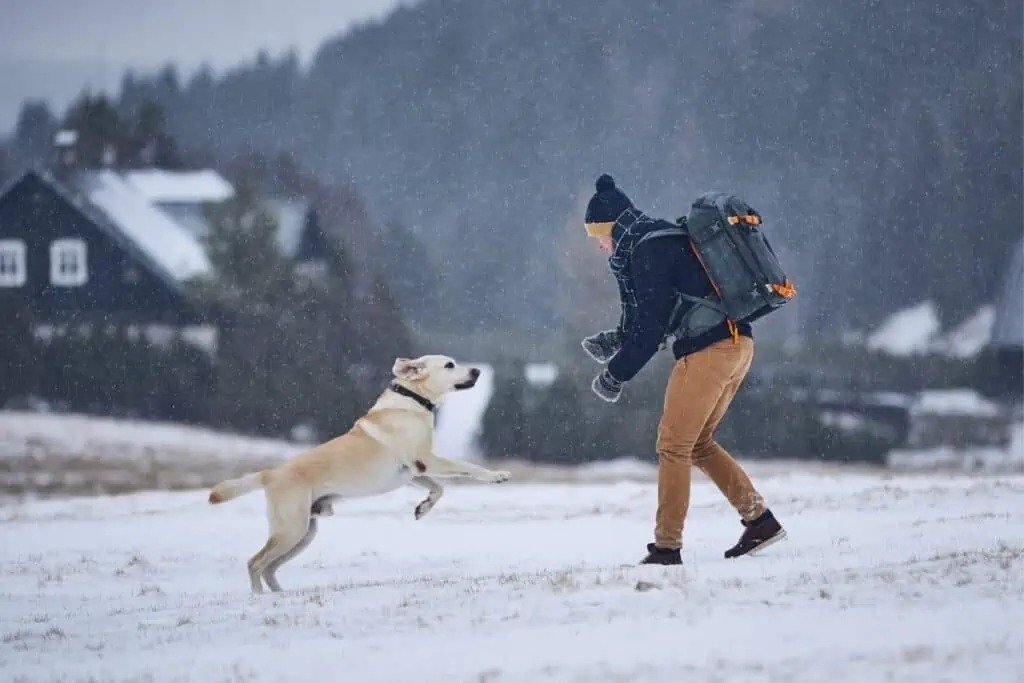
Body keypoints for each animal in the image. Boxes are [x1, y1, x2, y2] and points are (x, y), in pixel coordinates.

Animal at [207, 356, 512, 593]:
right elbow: (469, 468)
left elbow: (439, 489)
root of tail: (269, 474)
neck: (411, 401)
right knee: (255, 563)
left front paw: (422, 508)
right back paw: (259, 598)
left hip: (304, 533)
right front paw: (496, 475)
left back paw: (279, 597)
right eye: (450, 365)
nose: (477, 371)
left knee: (269, 568)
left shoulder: (415, 472)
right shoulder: (427, 460)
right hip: (290, 529)